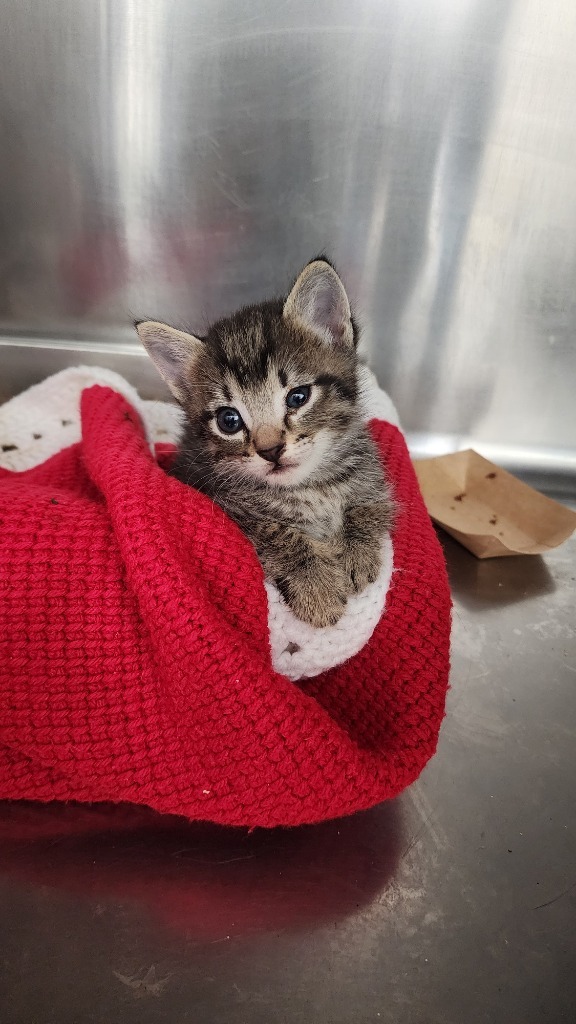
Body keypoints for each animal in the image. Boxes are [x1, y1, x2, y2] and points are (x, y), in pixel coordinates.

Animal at [136, 258, 391, 622]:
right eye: (229, 421)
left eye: (298, 397)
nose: (271, 450)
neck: (310, 487)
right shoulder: (225, 509)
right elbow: (275, 533)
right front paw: (318, 588)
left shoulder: (370, 473)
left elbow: (368, 506)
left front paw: (358, 552)